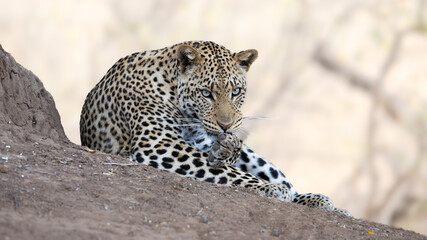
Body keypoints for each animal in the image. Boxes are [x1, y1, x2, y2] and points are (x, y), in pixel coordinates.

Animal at [80, 40, 352, 217]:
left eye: (236, 91)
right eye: (205, 93)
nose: (226, 125)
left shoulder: (198, 140)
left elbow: (227, 164)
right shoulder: (160, 144)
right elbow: (228, 171)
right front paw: (270, 189)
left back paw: (324, 202)